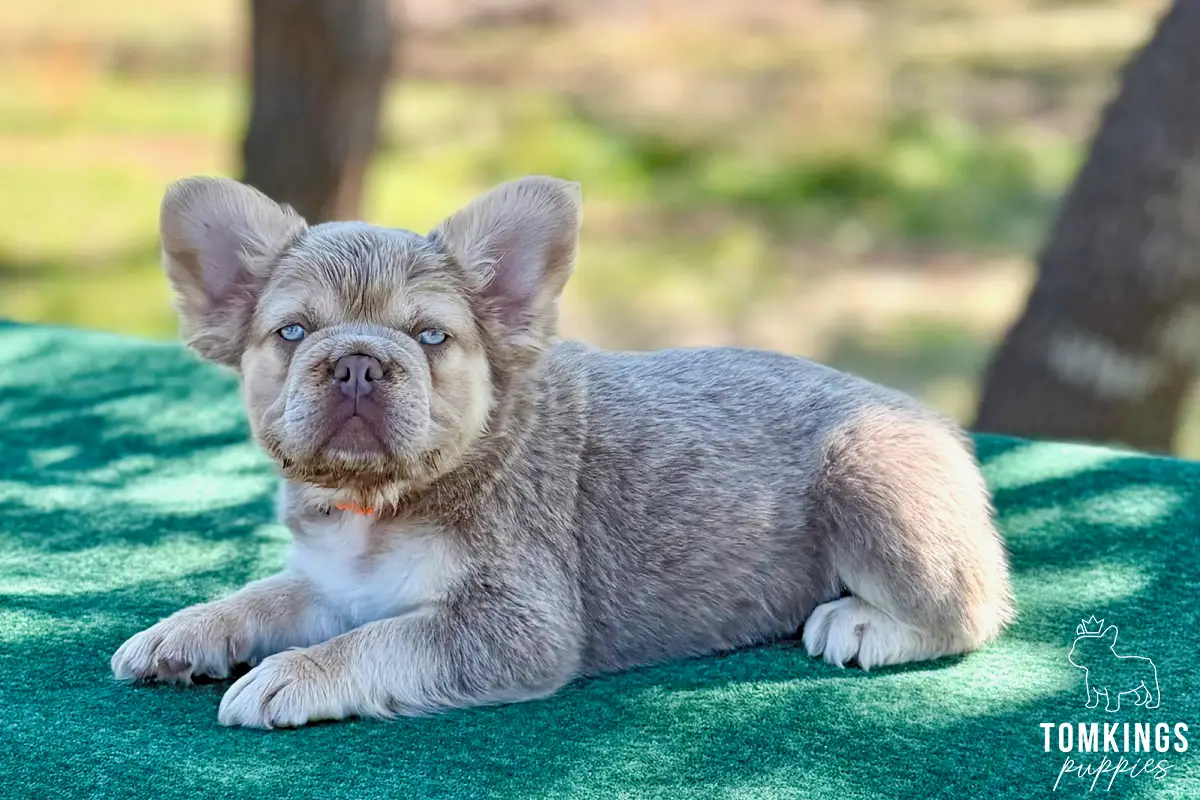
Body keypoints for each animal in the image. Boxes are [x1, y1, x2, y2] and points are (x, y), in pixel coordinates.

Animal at [111, 175, 1015, 728]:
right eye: (293, 333)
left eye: (431, 338)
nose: (359, 361)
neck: (381, 499)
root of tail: (932, 422)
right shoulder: (337, 583)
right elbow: (265, 596)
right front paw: (187, 629)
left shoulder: (514, 625)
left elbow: (375, 644)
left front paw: (295, 673)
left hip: (872, 481)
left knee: (975, 611)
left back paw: (864, 622)